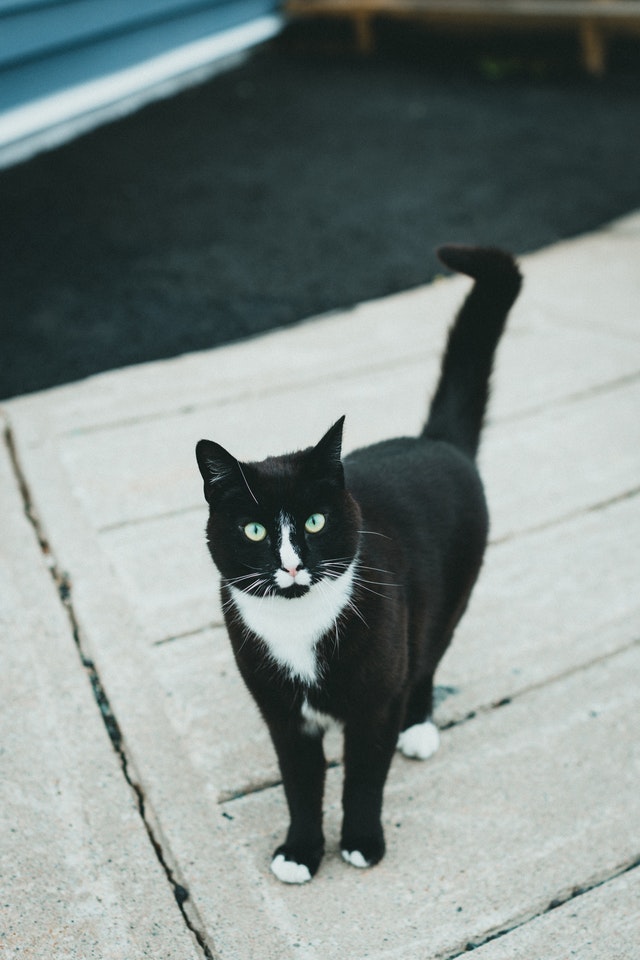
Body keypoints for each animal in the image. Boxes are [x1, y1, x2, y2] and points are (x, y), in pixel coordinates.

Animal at [198, 246, 524, 884]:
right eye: (254, 530)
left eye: (314, 522)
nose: (291, 565)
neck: (299, 626)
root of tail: (436, 441)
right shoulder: (284, 716)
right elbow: (301, 785)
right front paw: (300, 852)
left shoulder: (374, 705)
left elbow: (365, 778)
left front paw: (362, 843)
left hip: (447, 602)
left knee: (424, 661)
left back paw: (419, 728)